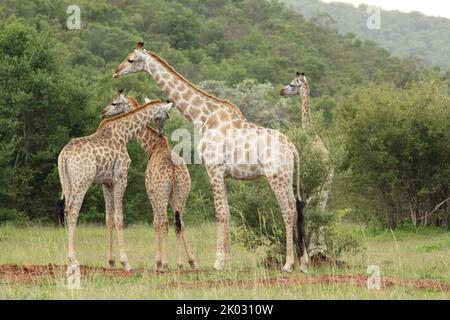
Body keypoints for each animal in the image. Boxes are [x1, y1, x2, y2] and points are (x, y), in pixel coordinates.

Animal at [57, 94, 172, 274]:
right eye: (166, 116)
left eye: (114, 103)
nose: (161, 133)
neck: (124, 133)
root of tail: (64, 157)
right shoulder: (120, 178)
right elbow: (119, 217)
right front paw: (125, 263)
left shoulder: (106, 182)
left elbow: (109, 218)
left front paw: (111, 262)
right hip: (82, 182)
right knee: (73, 211)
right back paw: (74, 260)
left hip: (68, 183)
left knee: (67, 211)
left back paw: (69, 261)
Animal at [100, 92, 195, 270]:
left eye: (114, 103)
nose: (103, 112)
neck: (153, 146)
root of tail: (174, 172)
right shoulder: (172, 196)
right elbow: (179, 225)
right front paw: (191, 261)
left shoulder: (150, 191)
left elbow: (156, 222)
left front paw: (158, 262)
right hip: (182, 194)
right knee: (179, 223)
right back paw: (180, 263)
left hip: (161, 193)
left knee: (164, 222)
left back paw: (165, 263)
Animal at [112, 42, 310, 272]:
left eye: (131, 59)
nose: (116, 72)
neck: (203, 117)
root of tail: (293, 148)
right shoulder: (223, 174)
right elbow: (228, 212)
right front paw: (227, 261)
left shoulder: (213, 168)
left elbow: (220, 213)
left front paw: (217, 262)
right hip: (287, 176)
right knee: (296, 208)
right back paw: (304, 263)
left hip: (276, 176)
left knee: (287, 210)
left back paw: (288, 264)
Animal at [282, 73, 334, 212]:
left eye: (292, 84)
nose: (282, 91)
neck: (311, 134)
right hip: (326, 186)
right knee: (321, 207)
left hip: (317, 184)